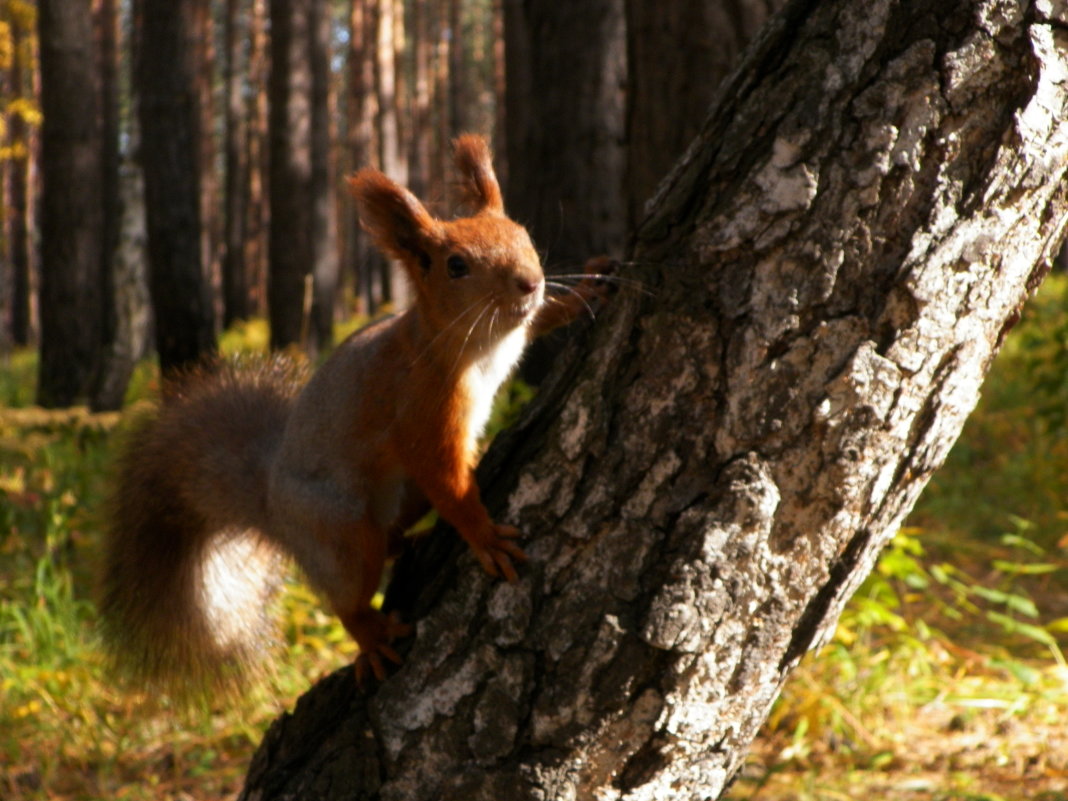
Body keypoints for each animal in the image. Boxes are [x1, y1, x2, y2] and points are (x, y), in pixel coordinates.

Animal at [100, 135, 610, 700]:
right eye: (455, 265)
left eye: (523, 234)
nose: (530, 282)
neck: (480, 343)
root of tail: (272, 507)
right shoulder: (420, 409)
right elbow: (446, 479)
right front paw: (484, 536)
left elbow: (541, 321)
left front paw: (583, 292)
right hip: (339, 529)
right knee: (348, 593)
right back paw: (371, 635)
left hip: (401, 499)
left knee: (391, 538)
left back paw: (408, 542)